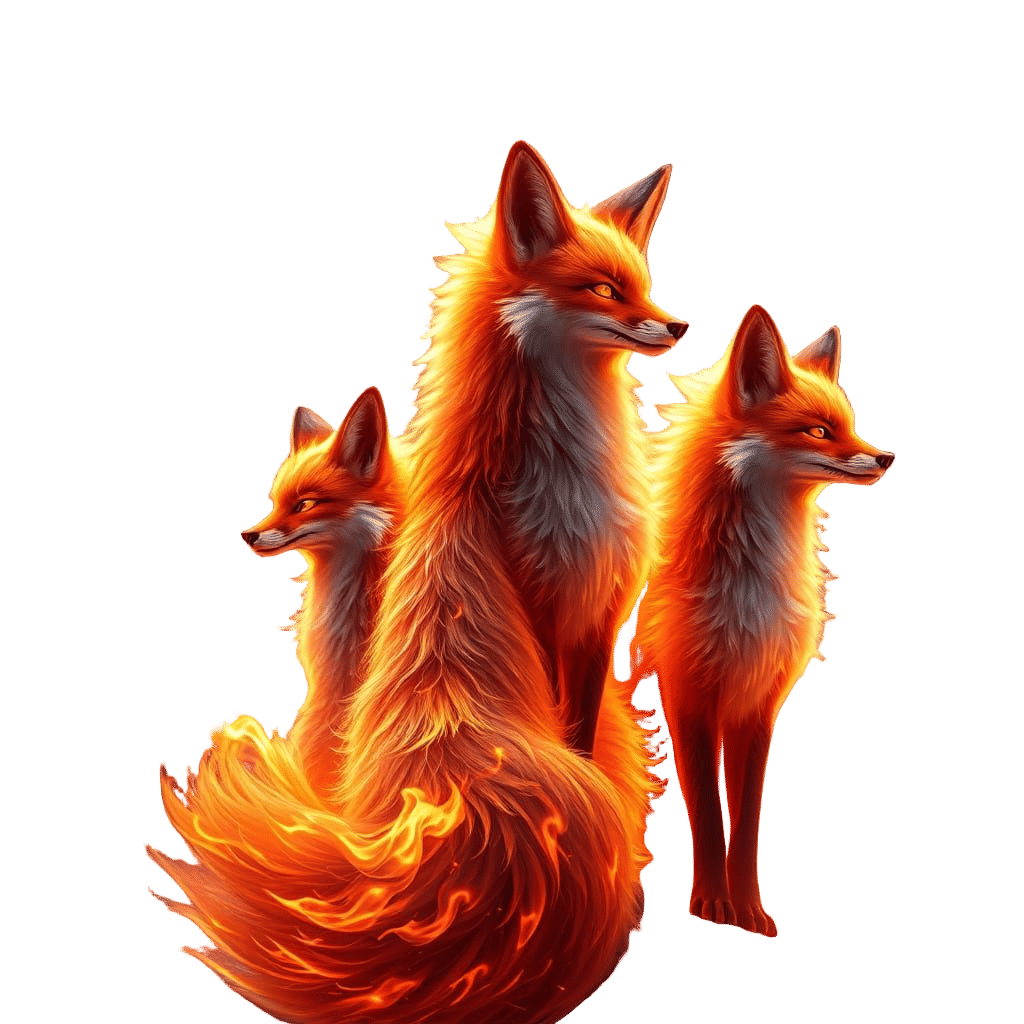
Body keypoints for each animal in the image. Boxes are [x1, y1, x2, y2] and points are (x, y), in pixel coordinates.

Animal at [632, 303, 895, 939]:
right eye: (818, 431)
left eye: (849, 425)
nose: (885, 457)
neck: (747, 595)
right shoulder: (688, 696)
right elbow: (707, 811)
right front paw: (710, 903)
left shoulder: (756, 703)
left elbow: (747, 820)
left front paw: (747, 907)